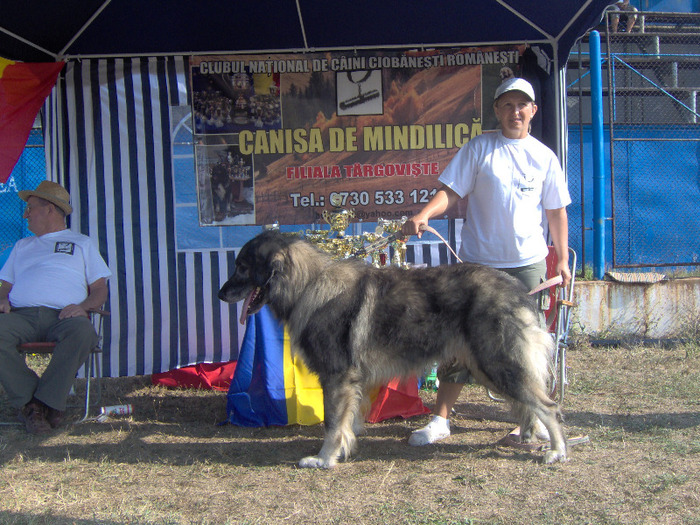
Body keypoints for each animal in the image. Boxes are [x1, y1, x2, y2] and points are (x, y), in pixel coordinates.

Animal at [220, 230, 568, 466]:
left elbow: (332, 423)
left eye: (242, 267)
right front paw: (346, 442)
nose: (221, 293)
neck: (308, 285)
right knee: (529, 404)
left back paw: (557, 450)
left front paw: (324, 458)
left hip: (497, 364)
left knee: (548, 406)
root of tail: (520, 292)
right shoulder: (351, 382)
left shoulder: (336, 377)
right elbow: (346, 418)